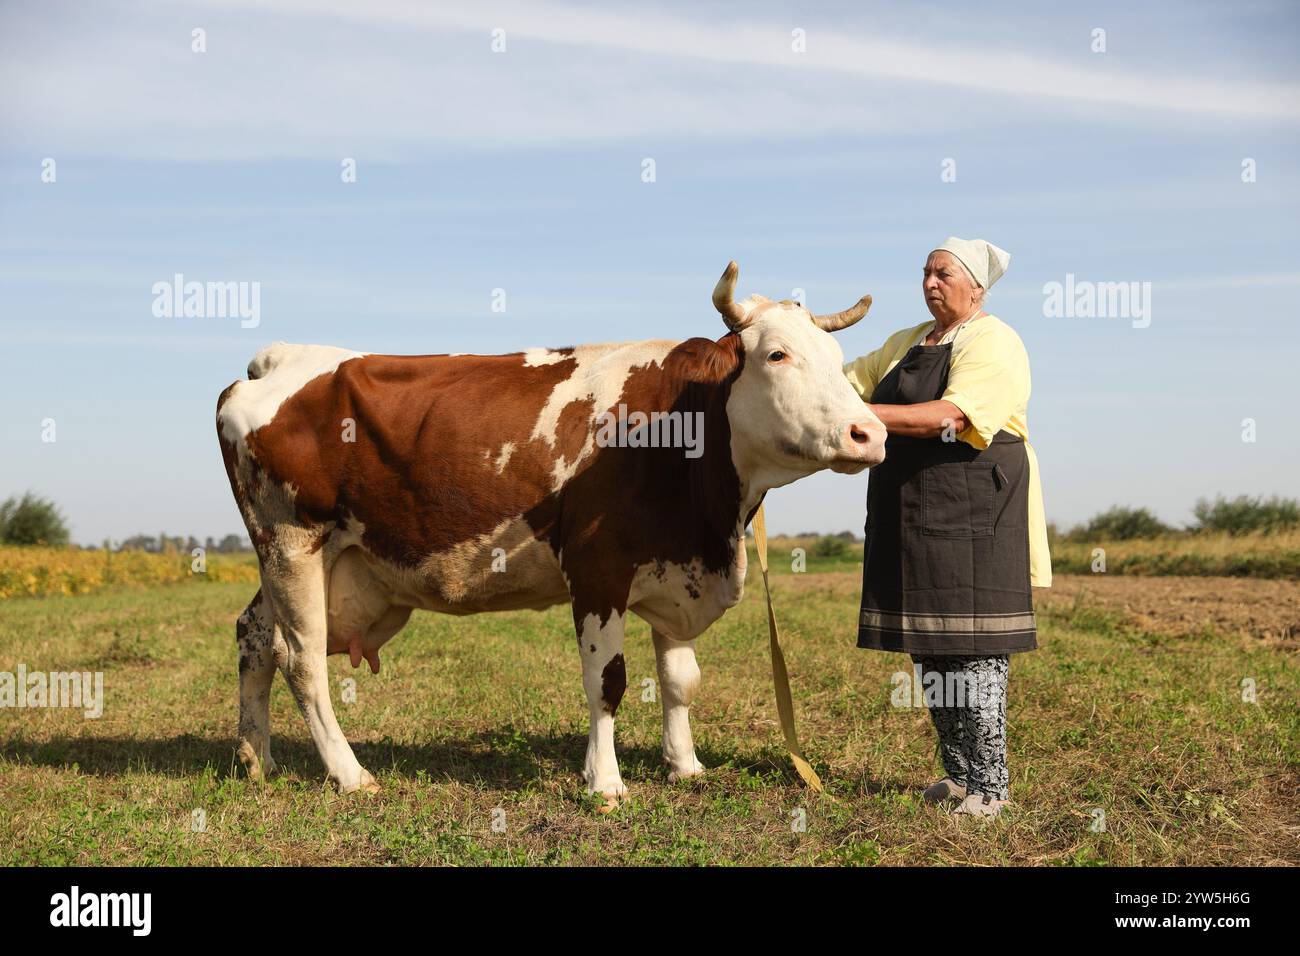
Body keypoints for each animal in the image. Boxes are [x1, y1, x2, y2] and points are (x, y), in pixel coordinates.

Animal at [216, 262, 886, 802]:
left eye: (838, 363)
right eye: (777, 355)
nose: (869, 432)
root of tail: (282, 358)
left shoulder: (675, 568)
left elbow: (680, 681)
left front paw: (685, 765)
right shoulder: (597, 569)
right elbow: (607, 682)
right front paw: (605, 782)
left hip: (307, 558)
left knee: (255, 635)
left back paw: (258, 759)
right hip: (291, 542)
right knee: (302, 659)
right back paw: (349, 774)